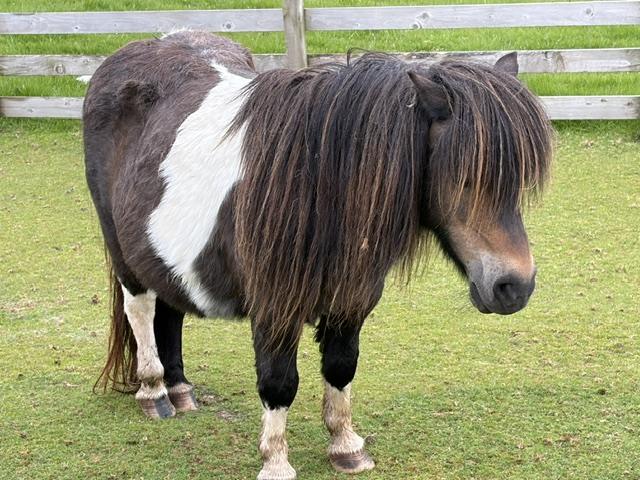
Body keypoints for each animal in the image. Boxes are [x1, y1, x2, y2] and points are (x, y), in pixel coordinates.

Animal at [83, 31, 552, 479]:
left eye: (518, 179)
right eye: (463, 176)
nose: (515, 287)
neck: (315, 180)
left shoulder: (352, 301)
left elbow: (341, 368)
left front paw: (346, 447)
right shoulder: (274, 308)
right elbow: (278, 383)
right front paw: (275, 462)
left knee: (171, 310)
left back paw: (180, 389)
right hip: (123, 253)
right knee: (141, 309)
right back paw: (154, 391)